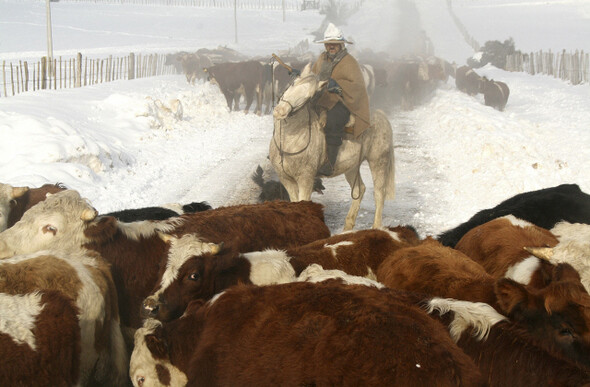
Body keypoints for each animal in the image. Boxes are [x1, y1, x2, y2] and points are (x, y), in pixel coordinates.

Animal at [272, 63, 398, 230]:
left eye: (308, 96)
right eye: (293, 83)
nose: (280, 111)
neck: (290, 140)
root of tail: (381, 116)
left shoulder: (306, 178)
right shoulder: (286, 179)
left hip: (378, 162)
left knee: (379, 193)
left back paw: (375, 226)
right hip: (351, 167)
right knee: (359, 189)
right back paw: (347, 228)